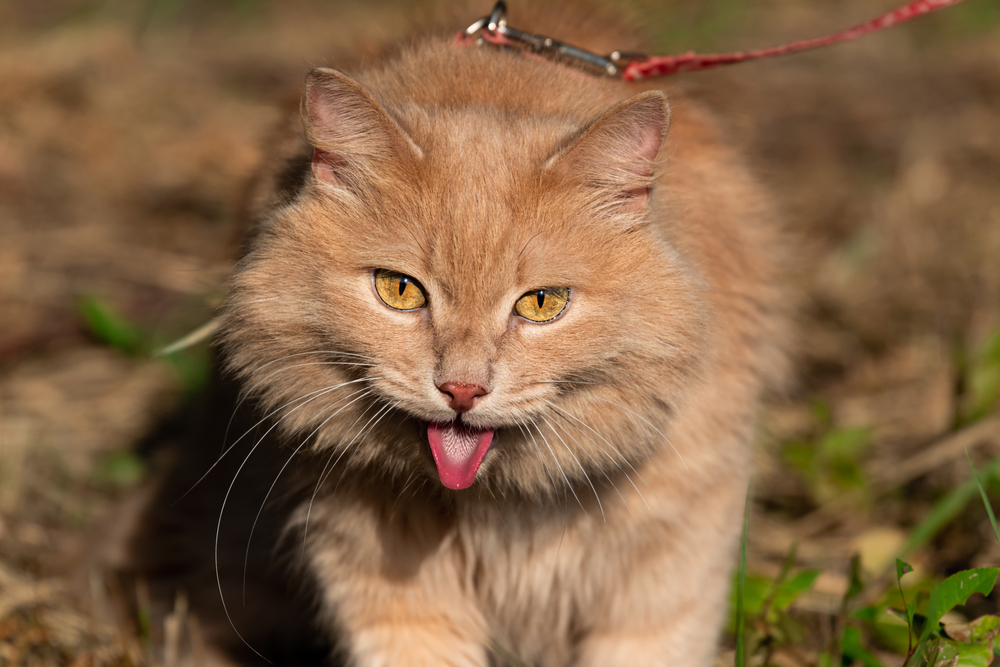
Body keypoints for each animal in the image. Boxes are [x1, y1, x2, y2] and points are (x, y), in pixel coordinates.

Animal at [131, 5, 788, 667]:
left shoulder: (670, 569)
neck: (499, 506)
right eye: (399, 290)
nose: (462, 391)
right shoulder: (382, 582)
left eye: (543, 303)